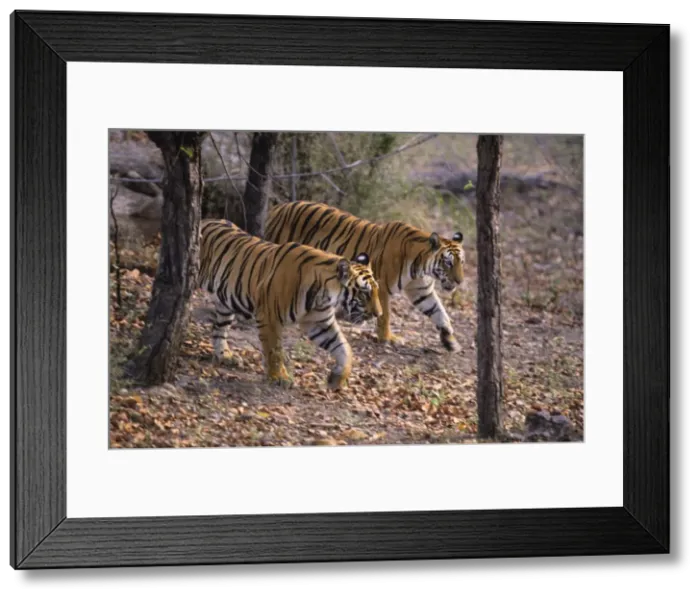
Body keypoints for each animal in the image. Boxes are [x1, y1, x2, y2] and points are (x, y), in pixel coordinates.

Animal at [197, 218, 382, 390]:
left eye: (376, 291)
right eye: (364, 293)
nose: (378, 314)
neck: (323, 296)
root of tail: (205, 220)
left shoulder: (319, 323)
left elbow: (344, 348)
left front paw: (337, 379)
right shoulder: (269, 317)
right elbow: (274, 350)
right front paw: (279, 378)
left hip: (225, 304)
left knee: (219, 329)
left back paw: (225, 356)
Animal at [264, 201, 466, 353]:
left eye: (461, 262)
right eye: (448, 263)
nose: (460, 281)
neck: (421, 266)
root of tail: (276, 208)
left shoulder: (421, 289)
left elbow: (439, 312)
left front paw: (450, 340)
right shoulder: (381, 286)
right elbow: (385, 315)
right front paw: (387, 338)